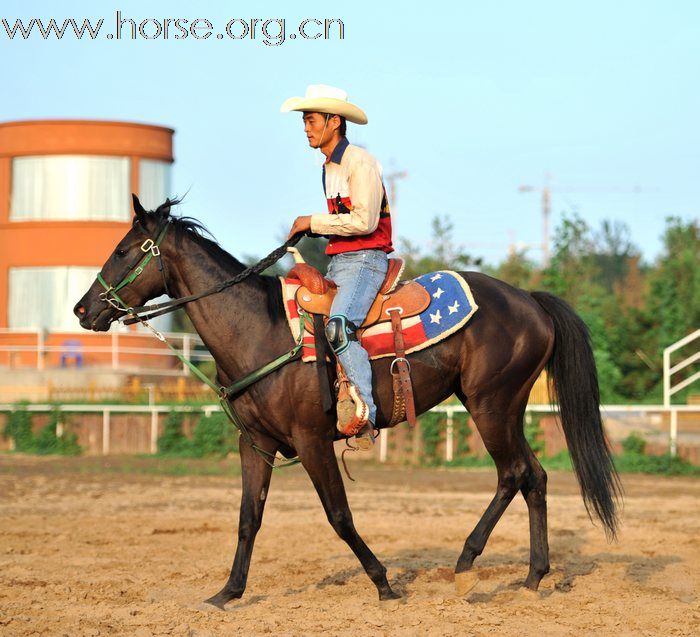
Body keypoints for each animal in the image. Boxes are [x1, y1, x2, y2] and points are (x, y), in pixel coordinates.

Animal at [74, 198, 620, 608]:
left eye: (123, 250)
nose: (82, 309)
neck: (259, 329)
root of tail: (529, 300)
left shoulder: (311, 441)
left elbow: (339, 516)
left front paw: (383, 583)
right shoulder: (255, 443)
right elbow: (249, 518)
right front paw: (227, 593)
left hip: (490, 406)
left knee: (512, 474)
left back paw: (466, 566)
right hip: (505, 409)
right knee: (535, 477)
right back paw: (532, 578)